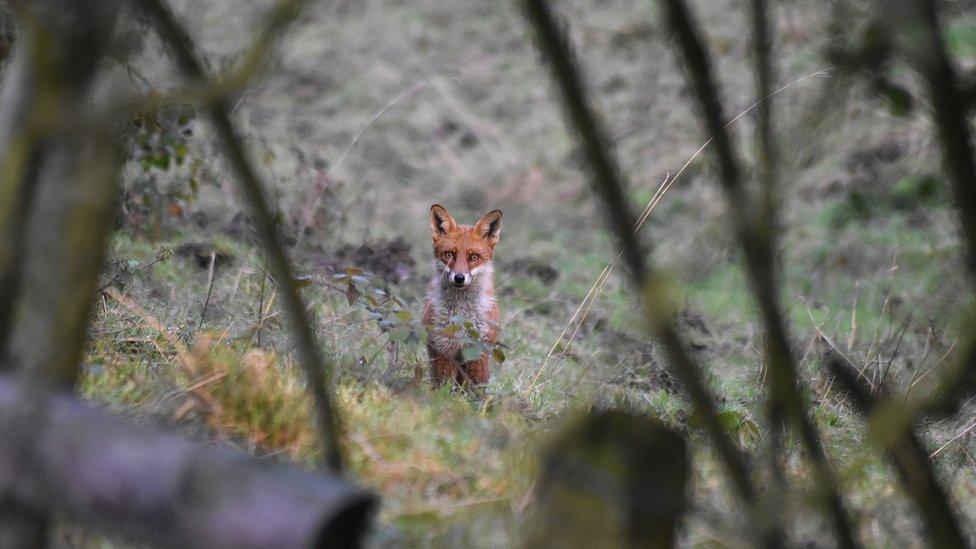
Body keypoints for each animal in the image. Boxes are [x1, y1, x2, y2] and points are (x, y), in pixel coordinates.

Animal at [424, 203, 504, 388]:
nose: (459, 277)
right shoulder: (443, 348)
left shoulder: (478, 351)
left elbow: (476, 387)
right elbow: (444, 386)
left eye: (474, 257)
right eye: (449, 254)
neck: (461, 315)